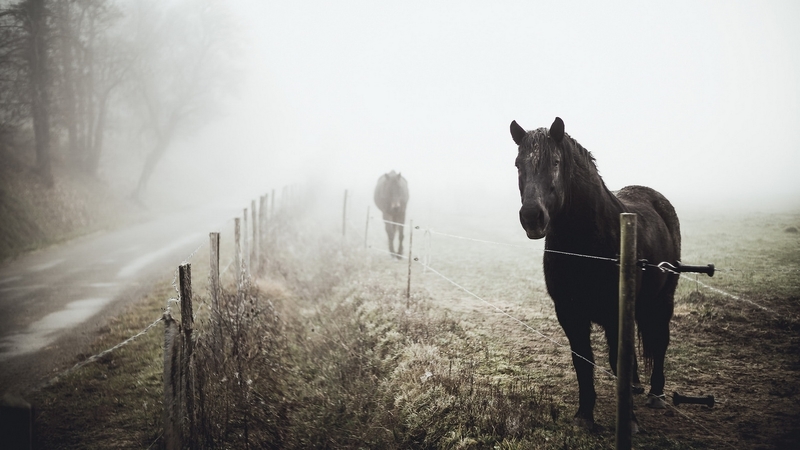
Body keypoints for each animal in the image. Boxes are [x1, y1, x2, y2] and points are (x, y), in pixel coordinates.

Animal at [510, 117, 681, 431]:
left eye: (555, 162)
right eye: (518, 164)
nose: (531, 217)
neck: (586, 245)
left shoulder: (613, 310)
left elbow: (616, 358)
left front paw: (629, 420)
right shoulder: (569, 312)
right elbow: (583, 360)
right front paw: (585, 415)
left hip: (663, 298)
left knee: (660, 340)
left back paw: (656, 394)